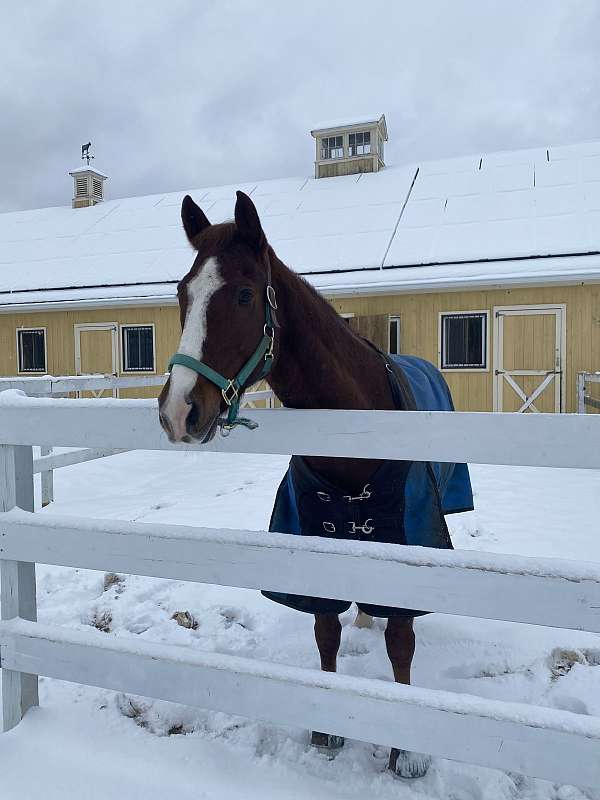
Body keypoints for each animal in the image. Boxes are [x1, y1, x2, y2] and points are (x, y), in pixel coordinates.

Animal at [158, 190, 473, 779]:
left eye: (243, 294)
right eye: (182, 293)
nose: (178, 411)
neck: (354, 435)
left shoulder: (407, 539)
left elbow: (401, 644)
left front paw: (402, 751)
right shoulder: (311, 540)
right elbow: (325, 631)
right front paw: (327, 732)